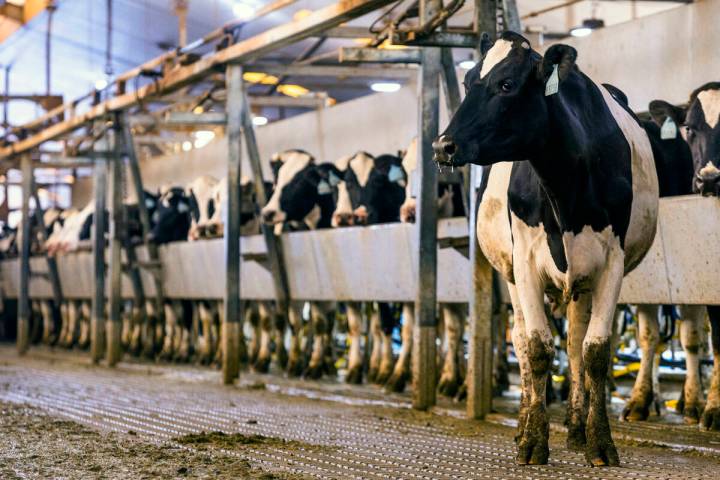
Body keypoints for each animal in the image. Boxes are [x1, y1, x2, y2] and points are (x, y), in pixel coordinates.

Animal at [430, 31, 660, 464]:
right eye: (467, 82)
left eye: (506, 85)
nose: (442, 146)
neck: (565, 185)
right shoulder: (525, 263)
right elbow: (537, 347)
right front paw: (534, 439)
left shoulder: (612, 262)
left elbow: (594, 351)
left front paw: (599, 441)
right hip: (511, 277)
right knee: (521, 342)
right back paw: (523, 424)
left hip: (581, 282)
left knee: (573, 345)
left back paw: (575, 427)